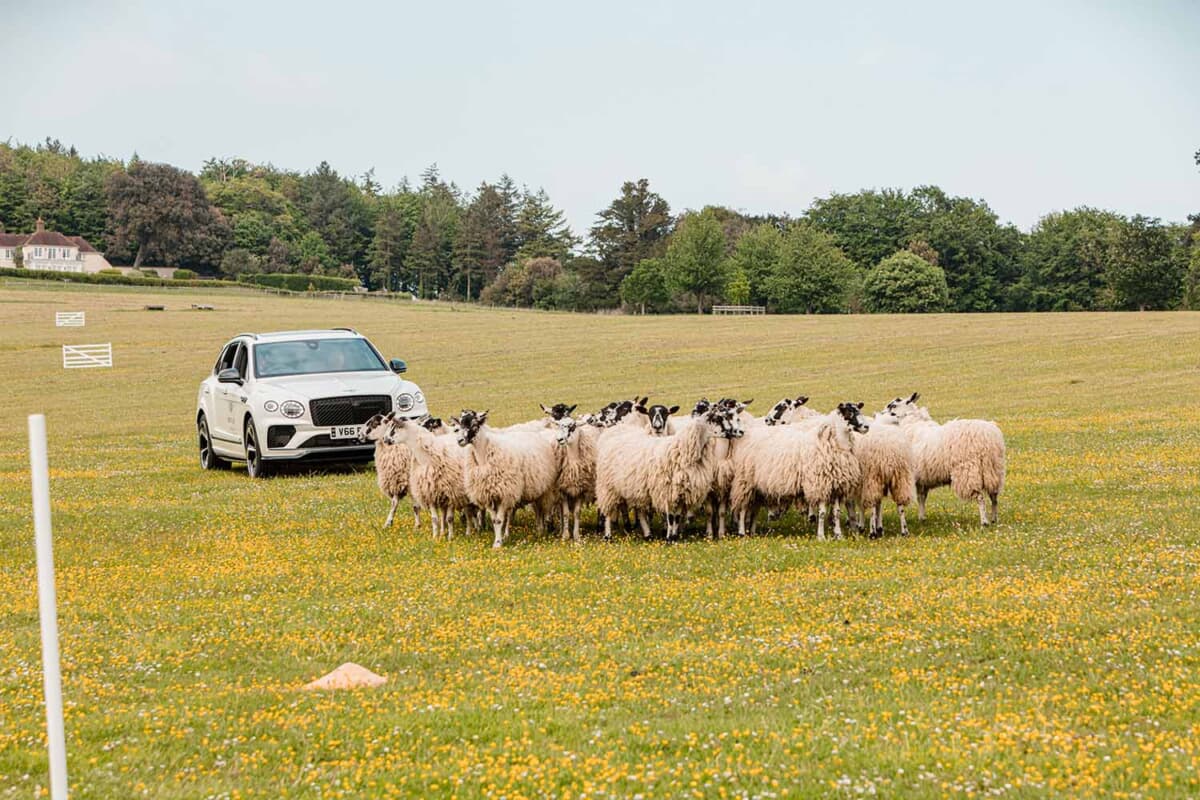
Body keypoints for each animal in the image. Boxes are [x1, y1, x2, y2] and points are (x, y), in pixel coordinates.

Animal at [451, 410, 559, 546]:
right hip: (534, 488)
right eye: (459, 425)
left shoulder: (504, 494)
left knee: (540, 509)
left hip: (544, 488)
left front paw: (498, 543)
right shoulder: (489, 495)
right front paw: (498, 540)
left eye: (474, 424)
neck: (483, 456)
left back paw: (541, 530)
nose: (459, 440)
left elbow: (499, 520)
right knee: (535, 510)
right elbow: (494, 520)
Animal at [883, 393, 1003, 525]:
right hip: (993, 470)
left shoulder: (917, 476)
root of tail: (988, 436)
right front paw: (922, 517)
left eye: (893, 405)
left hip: (969, 472)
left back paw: (984, 521)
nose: (881, 413)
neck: (912, 425)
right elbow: (922, 497)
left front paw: (921, 517)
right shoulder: (923, 477)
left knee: (980, 497)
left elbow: (920, 497)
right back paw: (994, 519)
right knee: (994, 496)